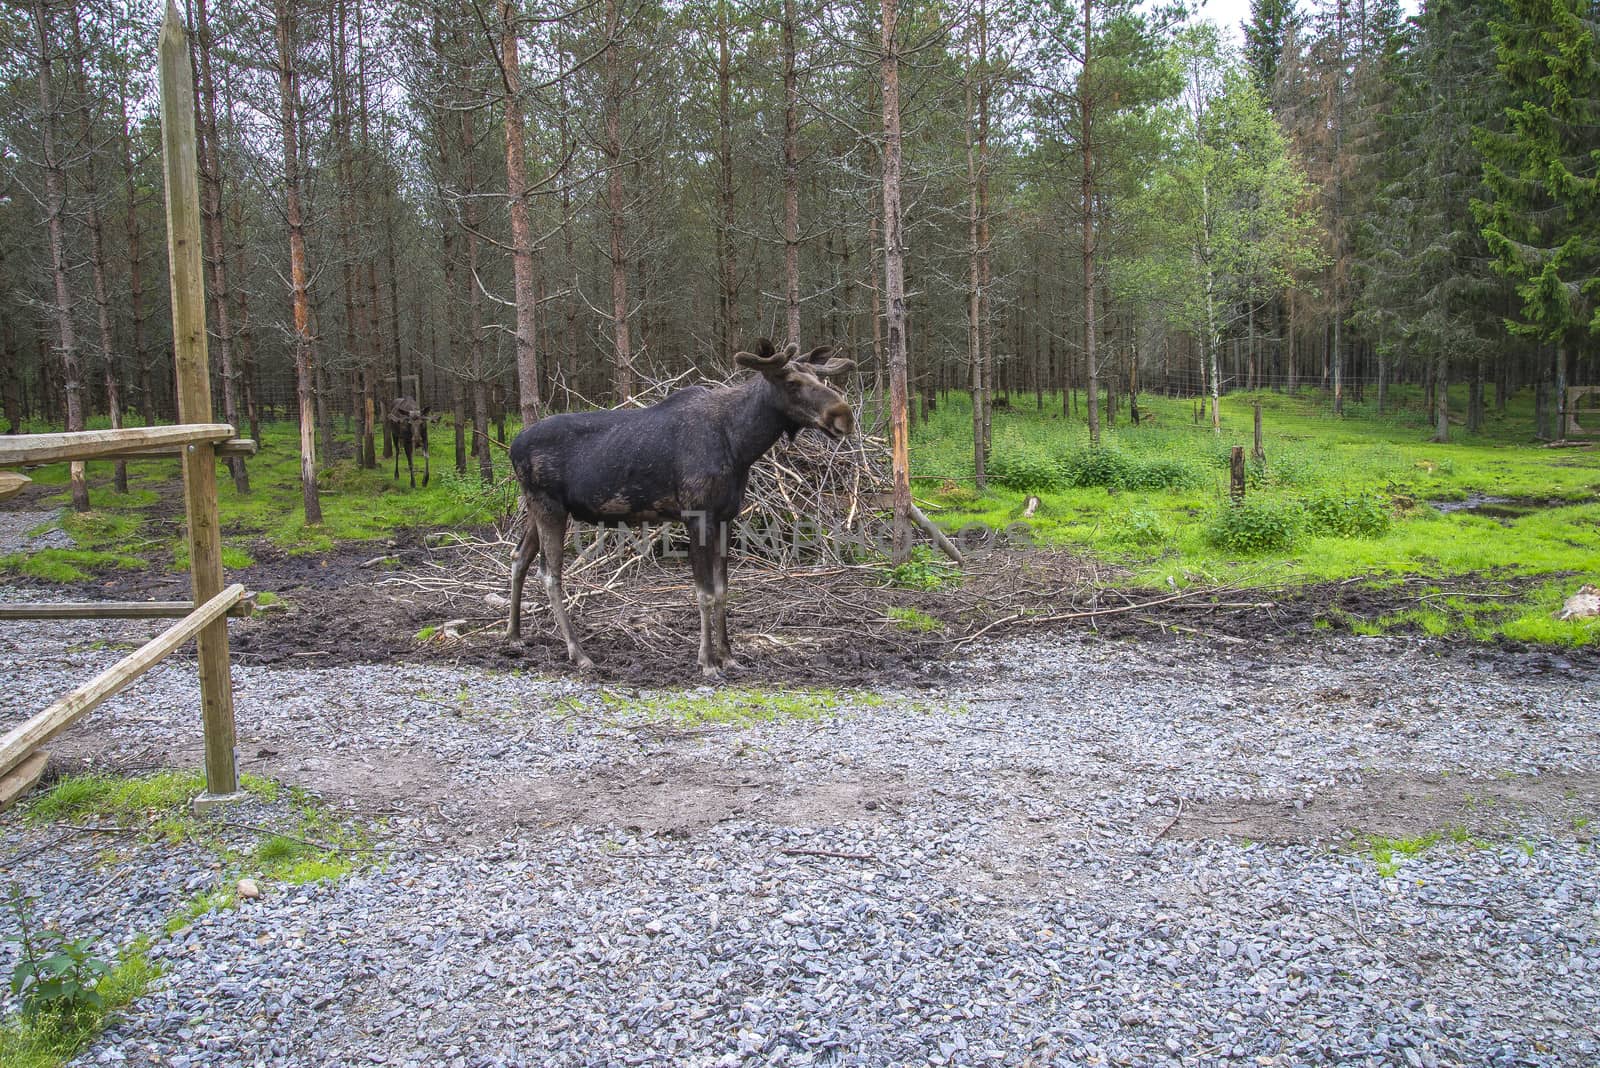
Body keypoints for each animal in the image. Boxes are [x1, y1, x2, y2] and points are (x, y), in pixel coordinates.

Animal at [515, 342, 864, 674]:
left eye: (819, 377)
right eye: (792, 383)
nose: (844, 415)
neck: (740, 445)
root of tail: (512, 447)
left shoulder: (726, 517)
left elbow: (723, 590)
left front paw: (729, 658)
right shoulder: (697, 515)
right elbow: (704, 593)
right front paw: (707, 662)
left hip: (536, 509)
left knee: (519, 559)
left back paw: (513, 635)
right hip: (549, 507)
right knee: (549, 574)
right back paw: (578, 654)